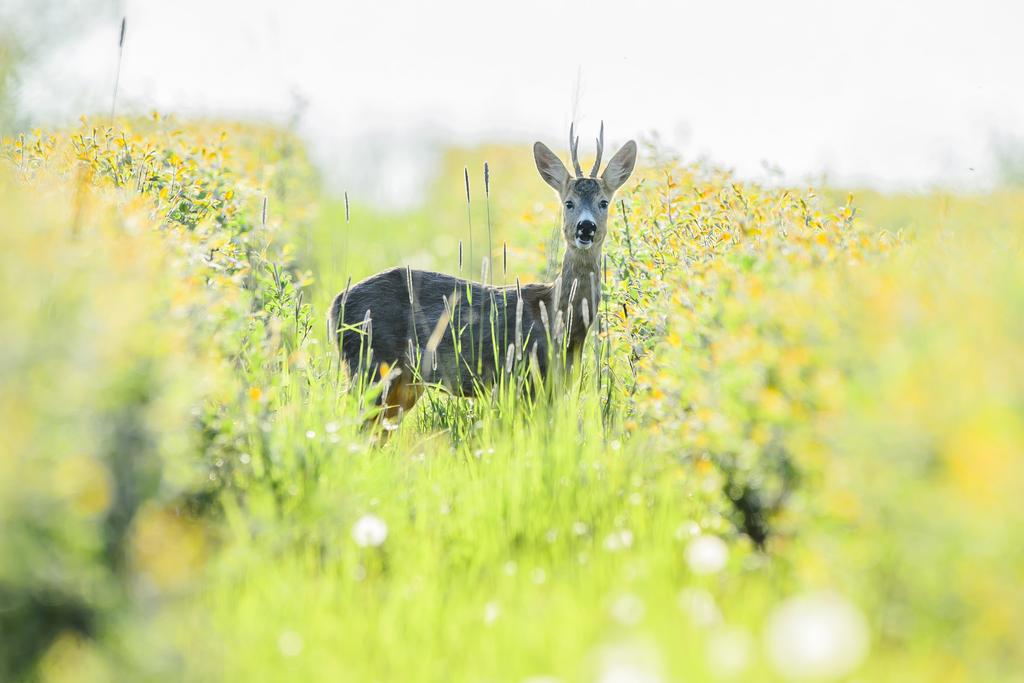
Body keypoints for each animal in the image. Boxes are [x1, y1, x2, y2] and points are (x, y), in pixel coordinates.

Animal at [327, 124, 634, 421]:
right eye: (568, 203)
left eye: (604, 202)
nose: (586, 227)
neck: (558, 317)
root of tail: (335, 305)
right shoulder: (518, 378)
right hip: (370, 364)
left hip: (401, 384)